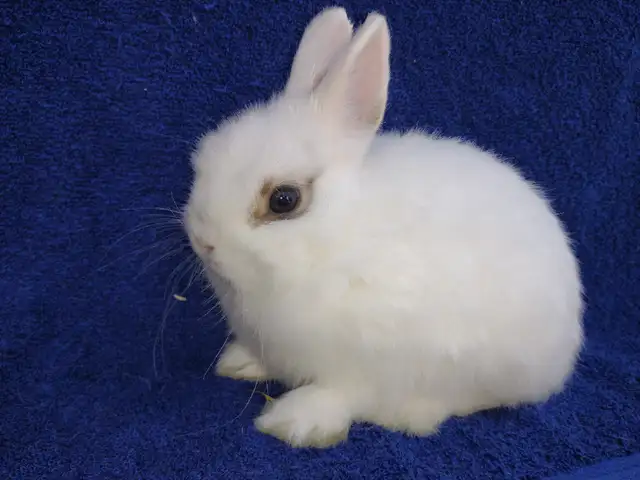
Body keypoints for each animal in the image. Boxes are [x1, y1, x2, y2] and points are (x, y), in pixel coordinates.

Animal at [183, 7, 584, 448]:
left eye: (283, 200)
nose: (202, 242)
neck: (338, 245)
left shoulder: (373, 365)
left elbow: (342, 393)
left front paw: (295, 421)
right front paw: (240, 363)